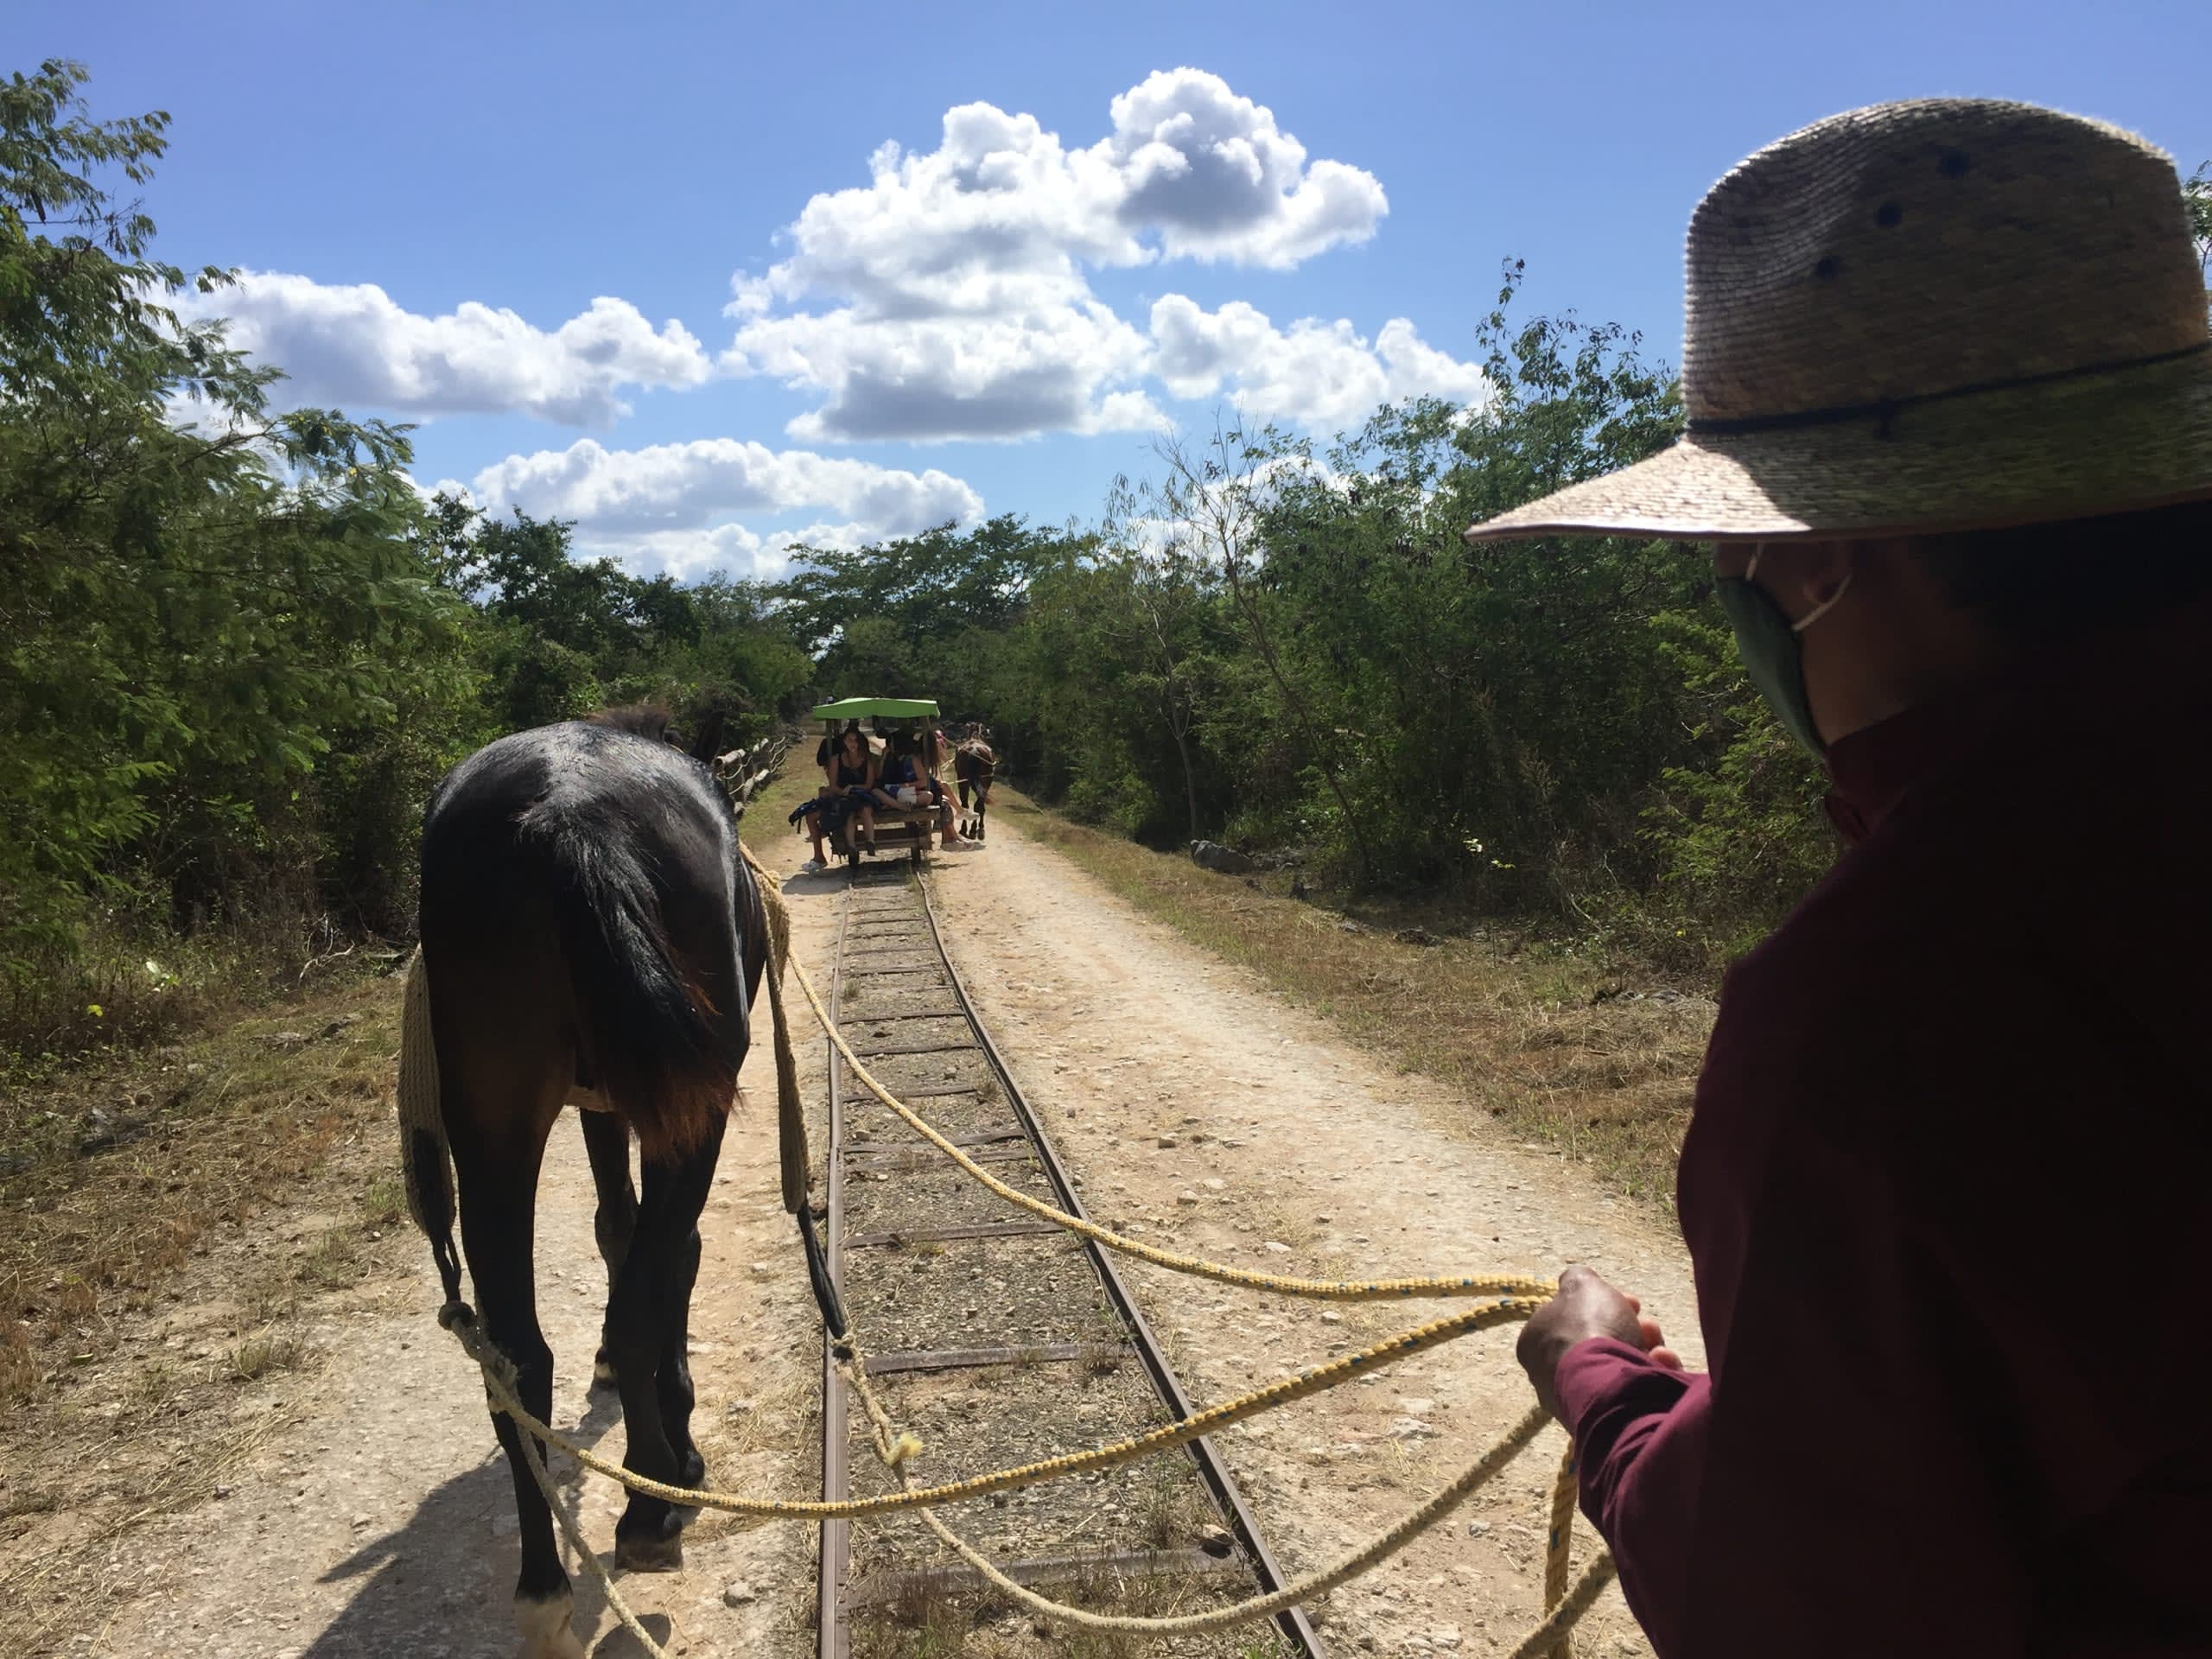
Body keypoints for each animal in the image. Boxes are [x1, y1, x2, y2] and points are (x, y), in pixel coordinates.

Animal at [402, 716, 774, 1659]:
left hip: (490, 1123)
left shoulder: (601, 1105)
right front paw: (676, 1439)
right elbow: (661, 1252)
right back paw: (649, 1507)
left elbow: (616, 1226)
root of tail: (567, 812)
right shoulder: (650, 1106)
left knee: (516, 1357)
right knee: (647, 1285)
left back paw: (544, 1588)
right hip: (686, 1110)